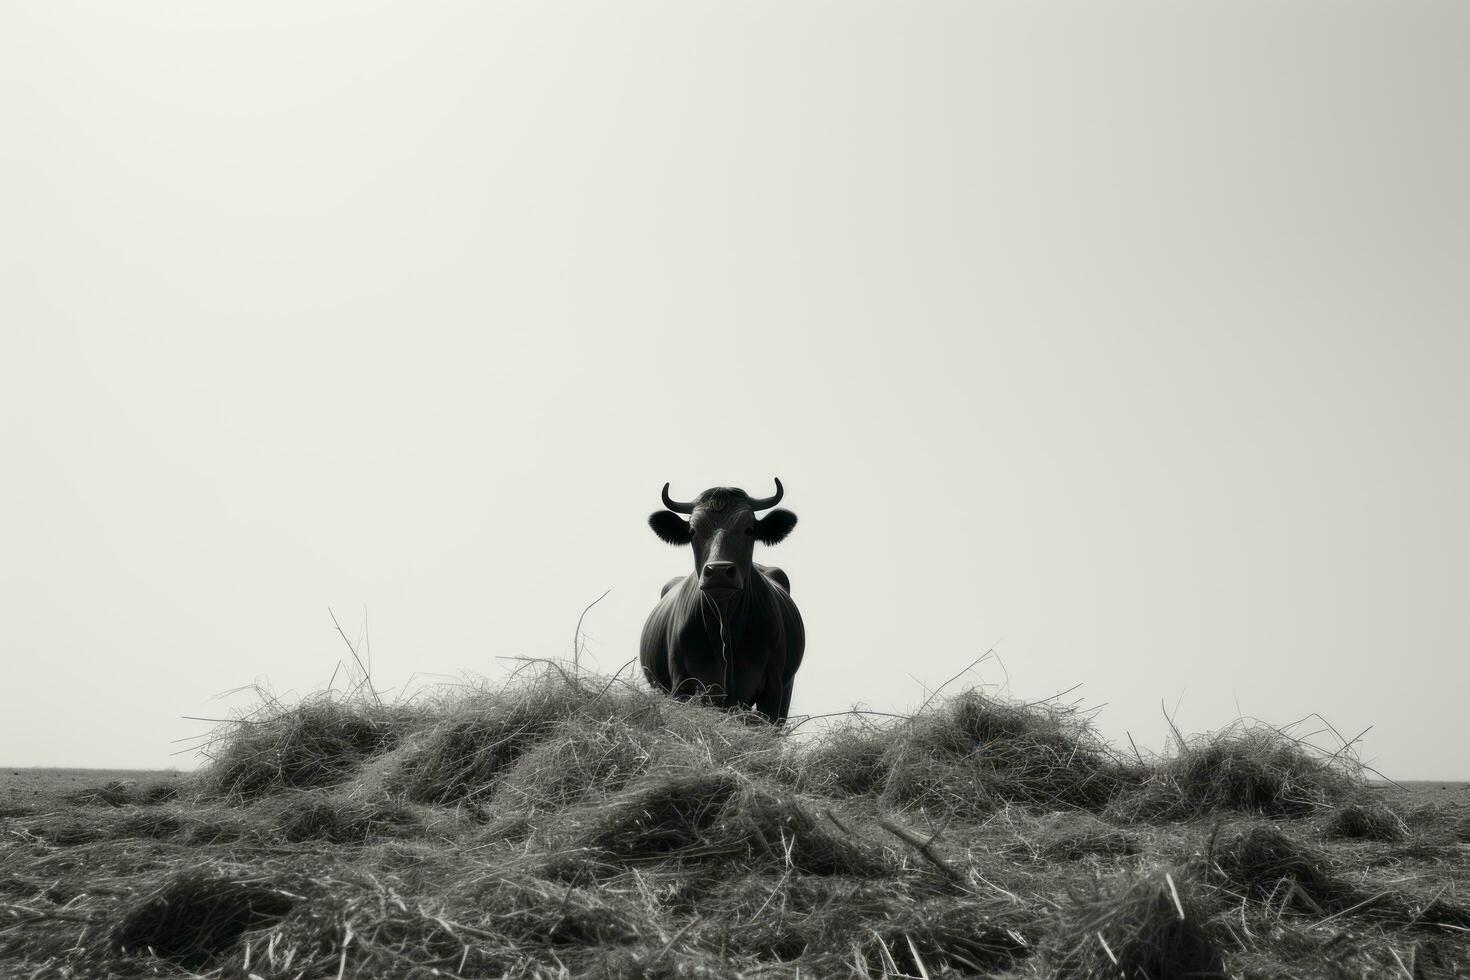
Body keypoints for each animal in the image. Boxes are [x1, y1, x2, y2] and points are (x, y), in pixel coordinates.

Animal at [640, 478, 805, 725]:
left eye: (749, 529)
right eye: (693, 531)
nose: (718, 571)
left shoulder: (773, 690)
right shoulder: (682, 686)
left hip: (786, 687)